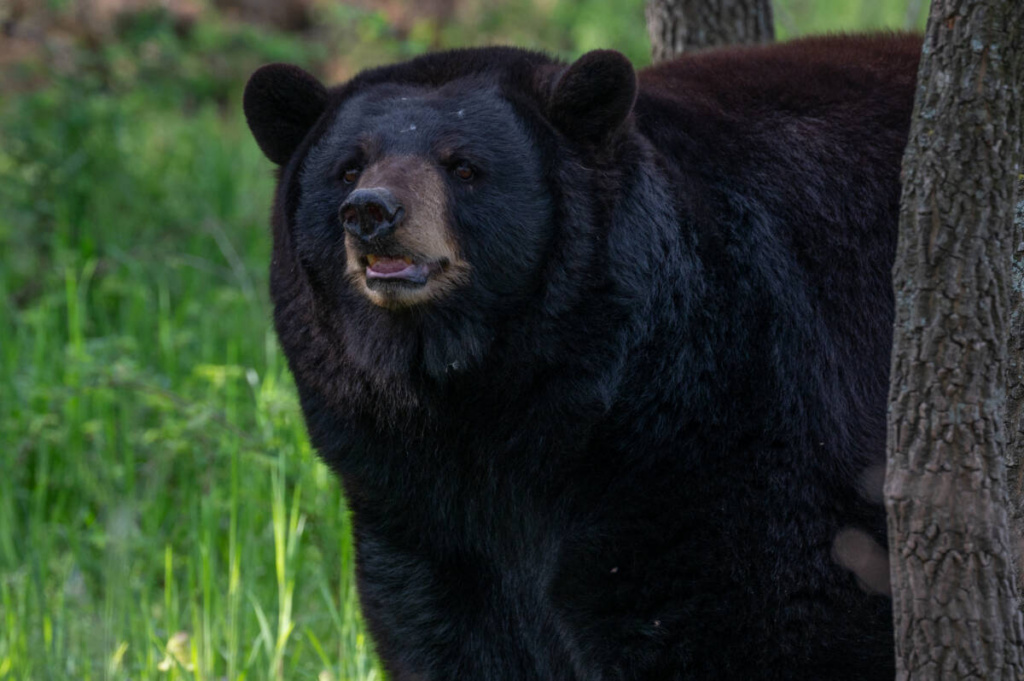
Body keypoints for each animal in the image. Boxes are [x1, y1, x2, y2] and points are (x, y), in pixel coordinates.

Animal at [243, 33, 921, 680]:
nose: (372, 212)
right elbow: (447, 636)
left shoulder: (740, 429)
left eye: (463, 166)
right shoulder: (415, 513)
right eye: (348, 167)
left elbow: (768, 616)